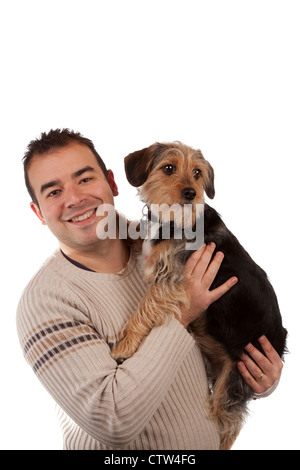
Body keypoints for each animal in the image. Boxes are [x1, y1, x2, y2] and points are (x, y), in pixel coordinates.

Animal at [110, 141, 288, 450]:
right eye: (168, 168)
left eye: (197, 173)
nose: (191, 194)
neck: (172, 220)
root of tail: (279, 343)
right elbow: (140, 236)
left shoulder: (172, 278)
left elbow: (146, 307)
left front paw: (126, 344)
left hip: (234, 380)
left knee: (228, 424)